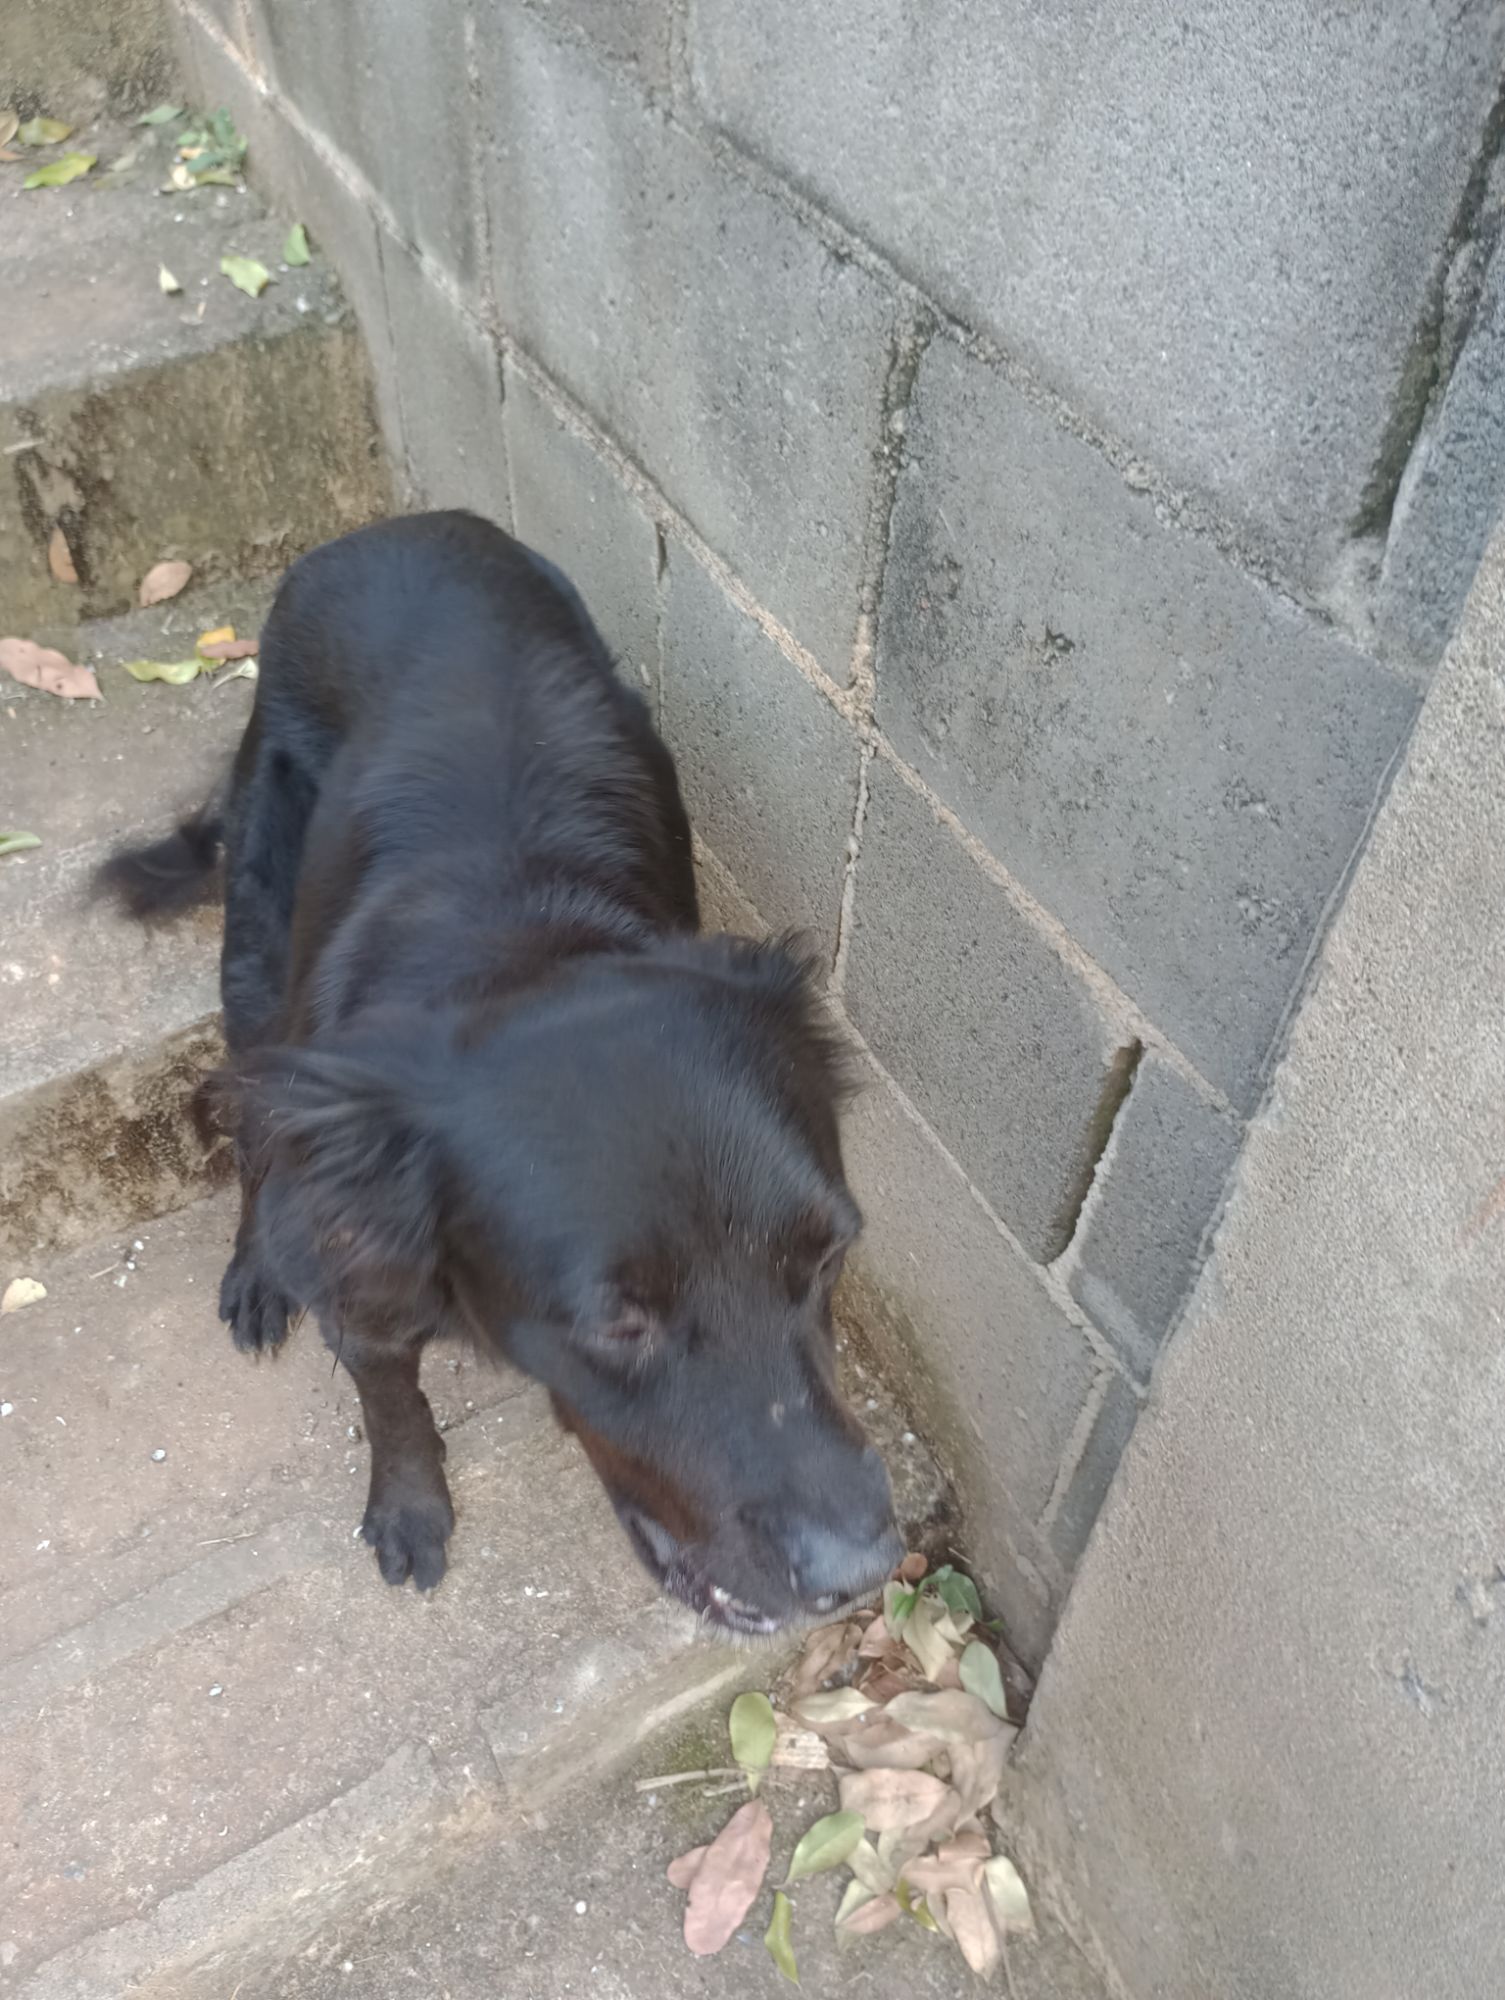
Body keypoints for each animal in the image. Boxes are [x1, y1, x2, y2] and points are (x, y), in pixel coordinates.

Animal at [101, 512, 901, 1634]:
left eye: (828, 1257)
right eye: (617, 1322)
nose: (860, 1571)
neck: (526, 940)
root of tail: (400, 527)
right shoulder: (364, 1251)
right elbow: (389, 1394)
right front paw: (409, 1506)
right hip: (256, 938)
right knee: (258, 1098)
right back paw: (258, 1263)